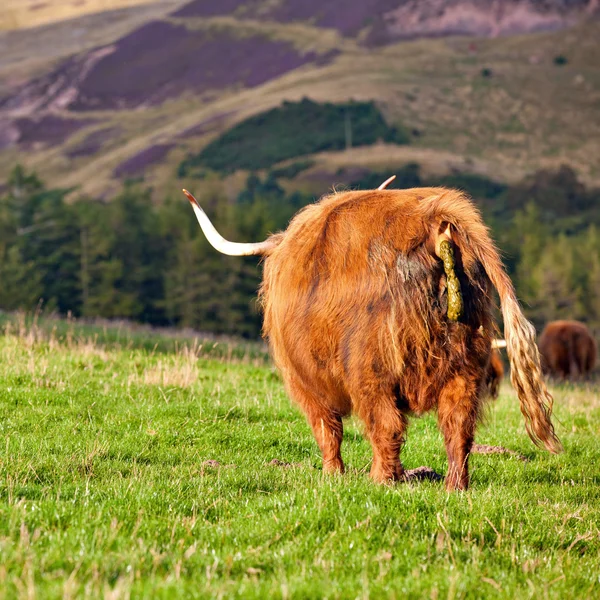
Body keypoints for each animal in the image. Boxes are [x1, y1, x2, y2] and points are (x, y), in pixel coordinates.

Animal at [183, 184, 564, 492]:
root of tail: (438, 218)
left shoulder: (305, 381)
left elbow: (327, 429)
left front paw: (332, 474)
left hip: (372, 366)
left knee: (386, 424)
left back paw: (381, 479)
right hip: (467, 363)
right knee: (459, 426)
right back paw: (455, 487)